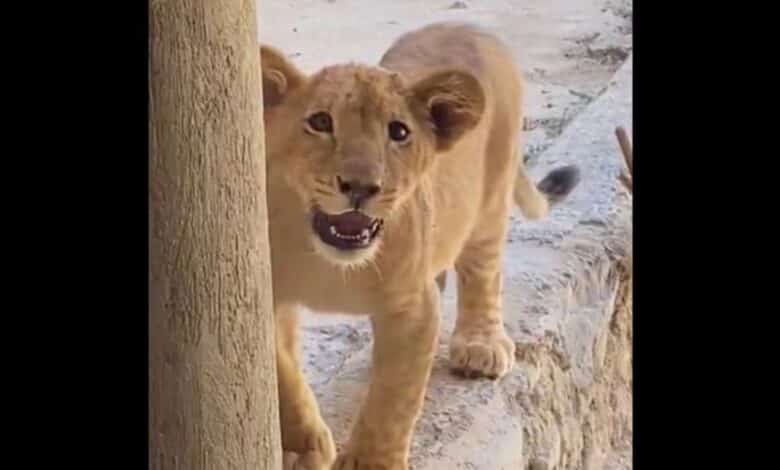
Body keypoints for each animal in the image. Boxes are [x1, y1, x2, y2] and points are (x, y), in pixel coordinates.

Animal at [262, 22, 580, 470]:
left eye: (398, 132)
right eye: (320, 122)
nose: (361, 186)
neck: (328, 262)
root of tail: (467, 27)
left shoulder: (412, 303)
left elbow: (394, 399)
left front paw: (370, 462)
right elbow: (282, 372)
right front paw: (303, 447)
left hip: (491, 197)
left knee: (483, 270)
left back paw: (480, 345)